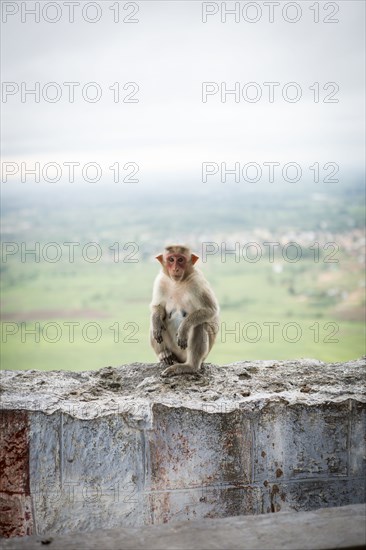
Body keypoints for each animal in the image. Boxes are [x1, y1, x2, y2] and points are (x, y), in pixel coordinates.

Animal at [149, 247, 219, 380]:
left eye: (181, 260)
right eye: (171, 259)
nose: (175, 268)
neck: (178, 282)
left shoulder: (197, 282)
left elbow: (210, 310)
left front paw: (184, 328)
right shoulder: (161, 280)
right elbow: (157, 307)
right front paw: (156, 321)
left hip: (197, 355)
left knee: (199, 325)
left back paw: (190, 366)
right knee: (158, 324)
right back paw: (164, 354)